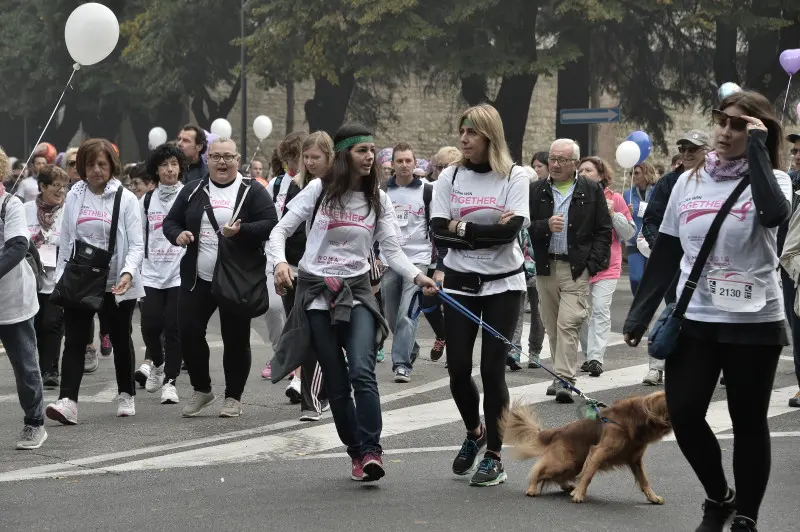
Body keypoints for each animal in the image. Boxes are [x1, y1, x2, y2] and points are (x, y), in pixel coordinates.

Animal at [504, 390, 672, 502]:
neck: (633, 418)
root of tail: (558, 431)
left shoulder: (635, 459)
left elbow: (644, 480)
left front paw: (653, 497)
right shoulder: (599, 451)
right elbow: (588, 474)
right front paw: (579, 494)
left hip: (575, 463)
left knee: (555, 476)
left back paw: (567, 486)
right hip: (565, 462)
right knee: (538, 470)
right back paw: (532, 488)